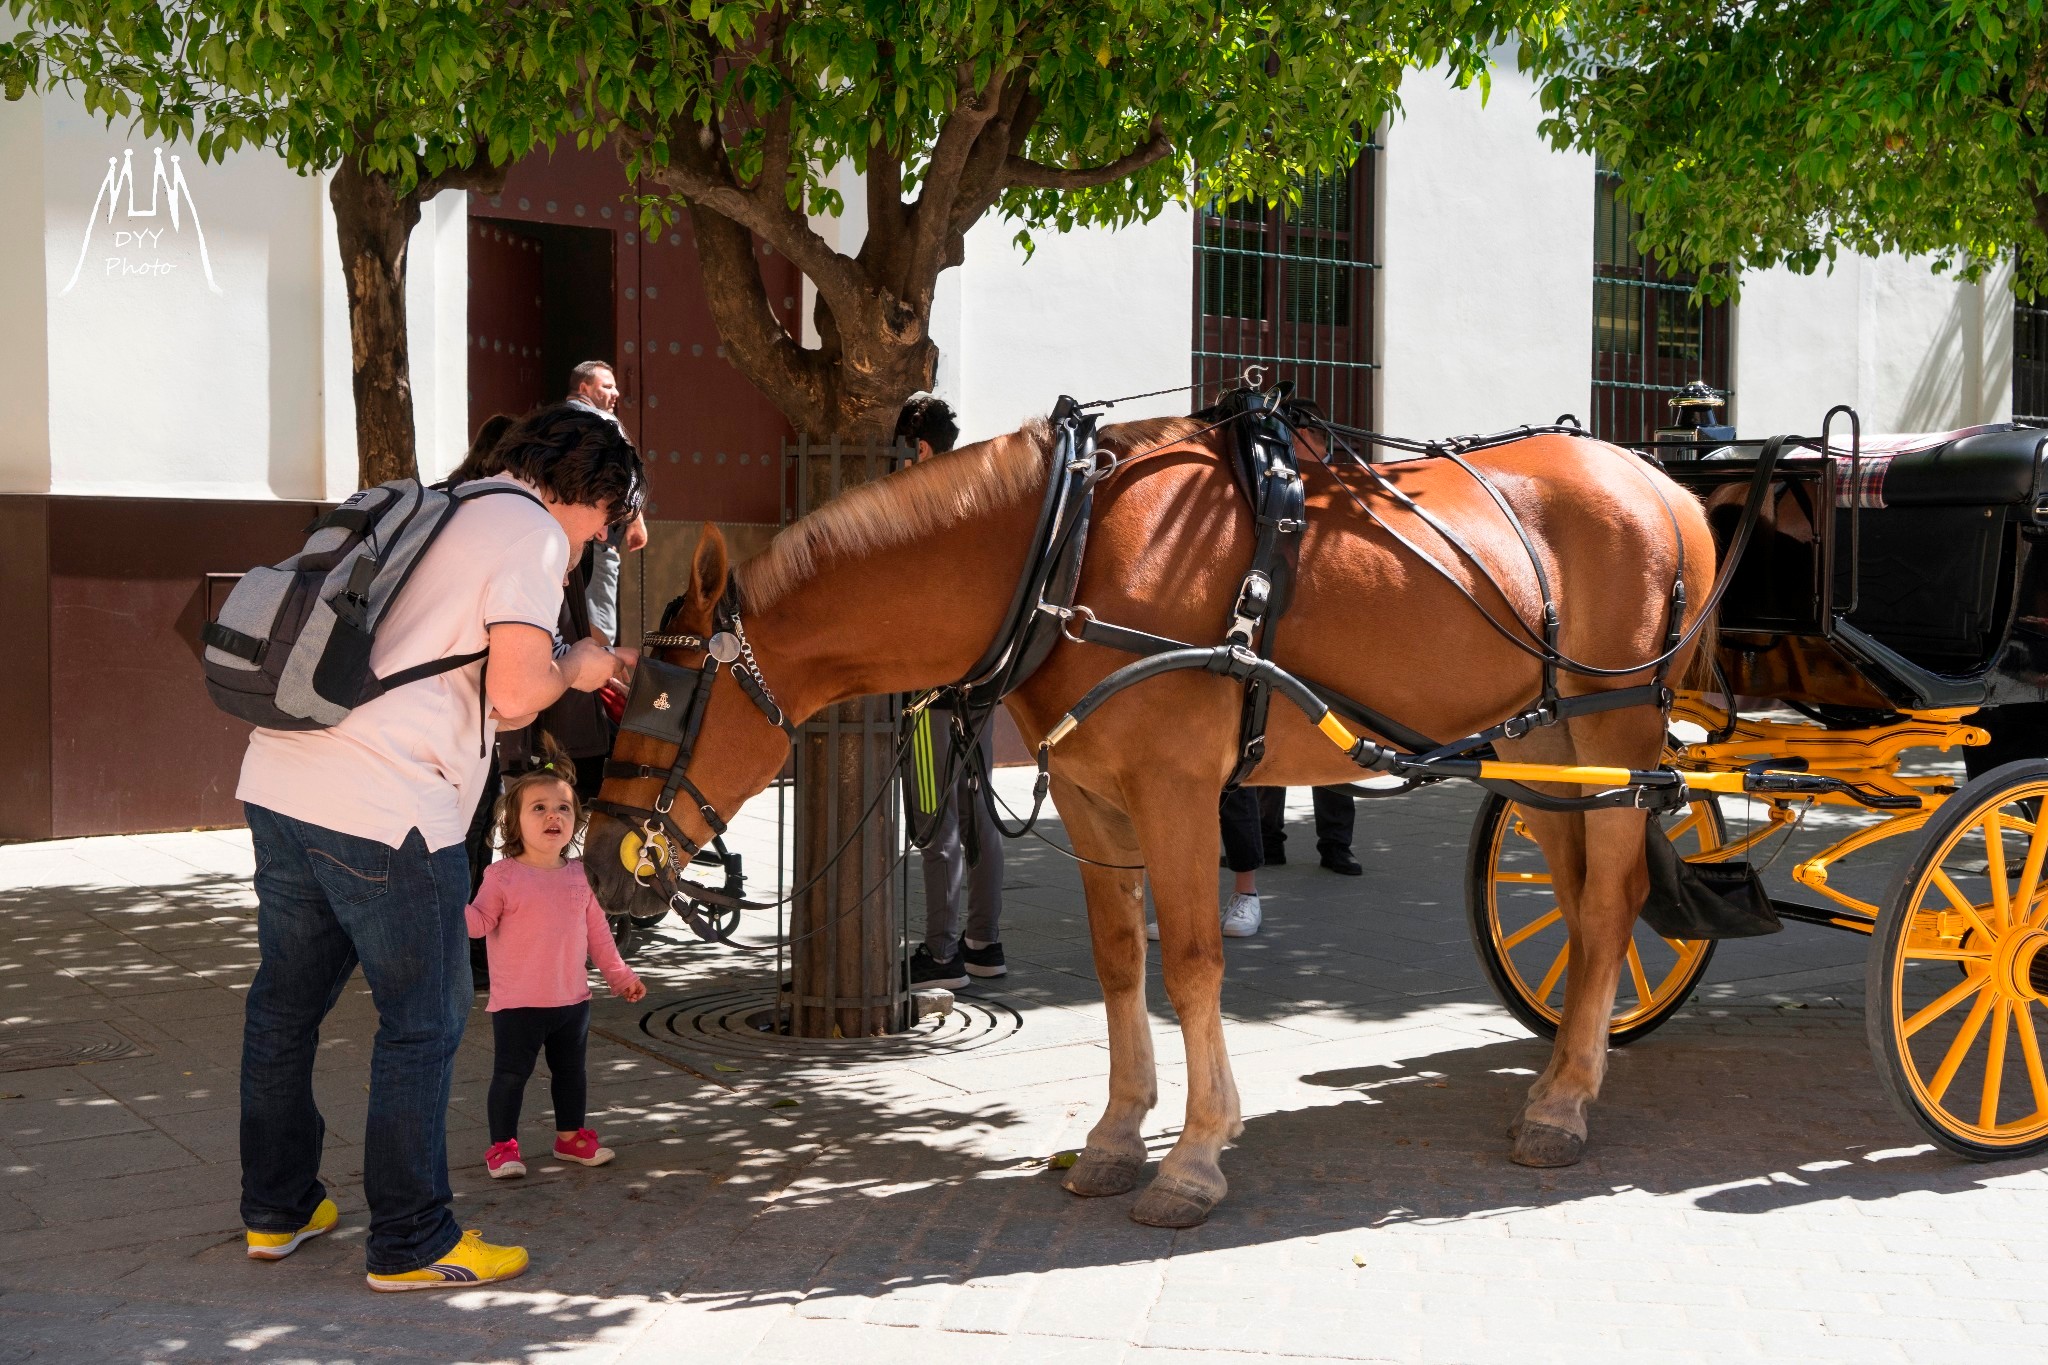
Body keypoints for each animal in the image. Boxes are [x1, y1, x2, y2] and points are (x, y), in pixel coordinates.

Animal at [585, 417, 1720, 1227]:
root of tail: (1667, 489)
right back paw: (1562, 1071)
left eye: (664, 702)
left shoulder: (1175, 789)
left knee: (1609, 903)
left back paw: (1564, 1102)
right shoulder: (1097, 795)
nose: (598, 866)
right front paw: (1117, 1135)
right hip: (1547, 750)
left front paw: (1195, 1155)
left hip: (1613, 726)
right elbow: (1120, 960)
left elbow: (1192, 963)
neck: (1067, 554)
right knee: (1579, 901)